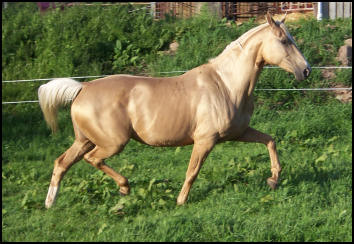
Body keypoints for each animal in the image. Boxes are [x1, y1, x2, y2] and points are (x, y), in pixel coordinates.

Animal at [38, 13, 310, 209]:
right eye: (284, 41)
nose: (306, 70)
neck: (226, 85)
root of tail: (83, 88)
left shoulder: (239, 132)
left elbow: (270, 141)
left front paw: (273, 179)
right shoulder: (205, 140)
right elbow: (192, 172)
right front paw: (181, 201)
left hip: (84, 140)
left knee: (61, 163)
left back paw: (50, 204)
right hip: (112, 143)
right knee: (92, 159)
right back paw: (125, 187)